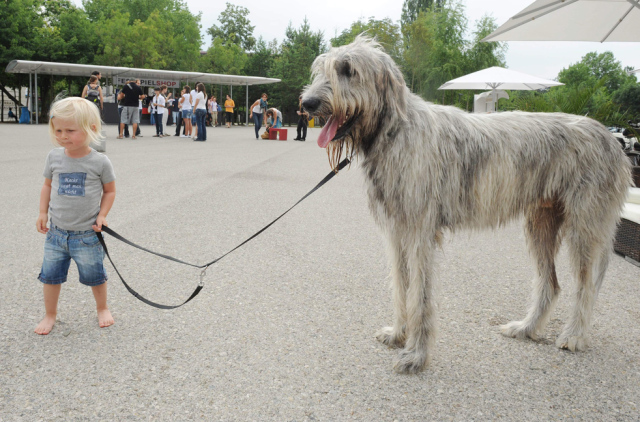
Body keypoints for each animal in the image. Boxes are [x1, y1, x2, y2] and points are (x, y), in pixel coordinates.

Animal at [300, 36, 632, 372]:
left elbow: (420, 295)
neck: (394, 132)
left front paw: (416, 354)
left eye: (348, 70)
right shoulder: (397, 231)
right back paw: (525, 328)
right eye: (321, 69)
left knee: (585, 284)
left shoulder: (420, 232)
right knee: (550, 284)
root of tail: (613, 140)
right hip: (541, 223)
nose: (307, 104)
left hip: (584, 226)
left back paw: (574, 335)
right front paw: (398, 334)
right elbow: (401, 285)